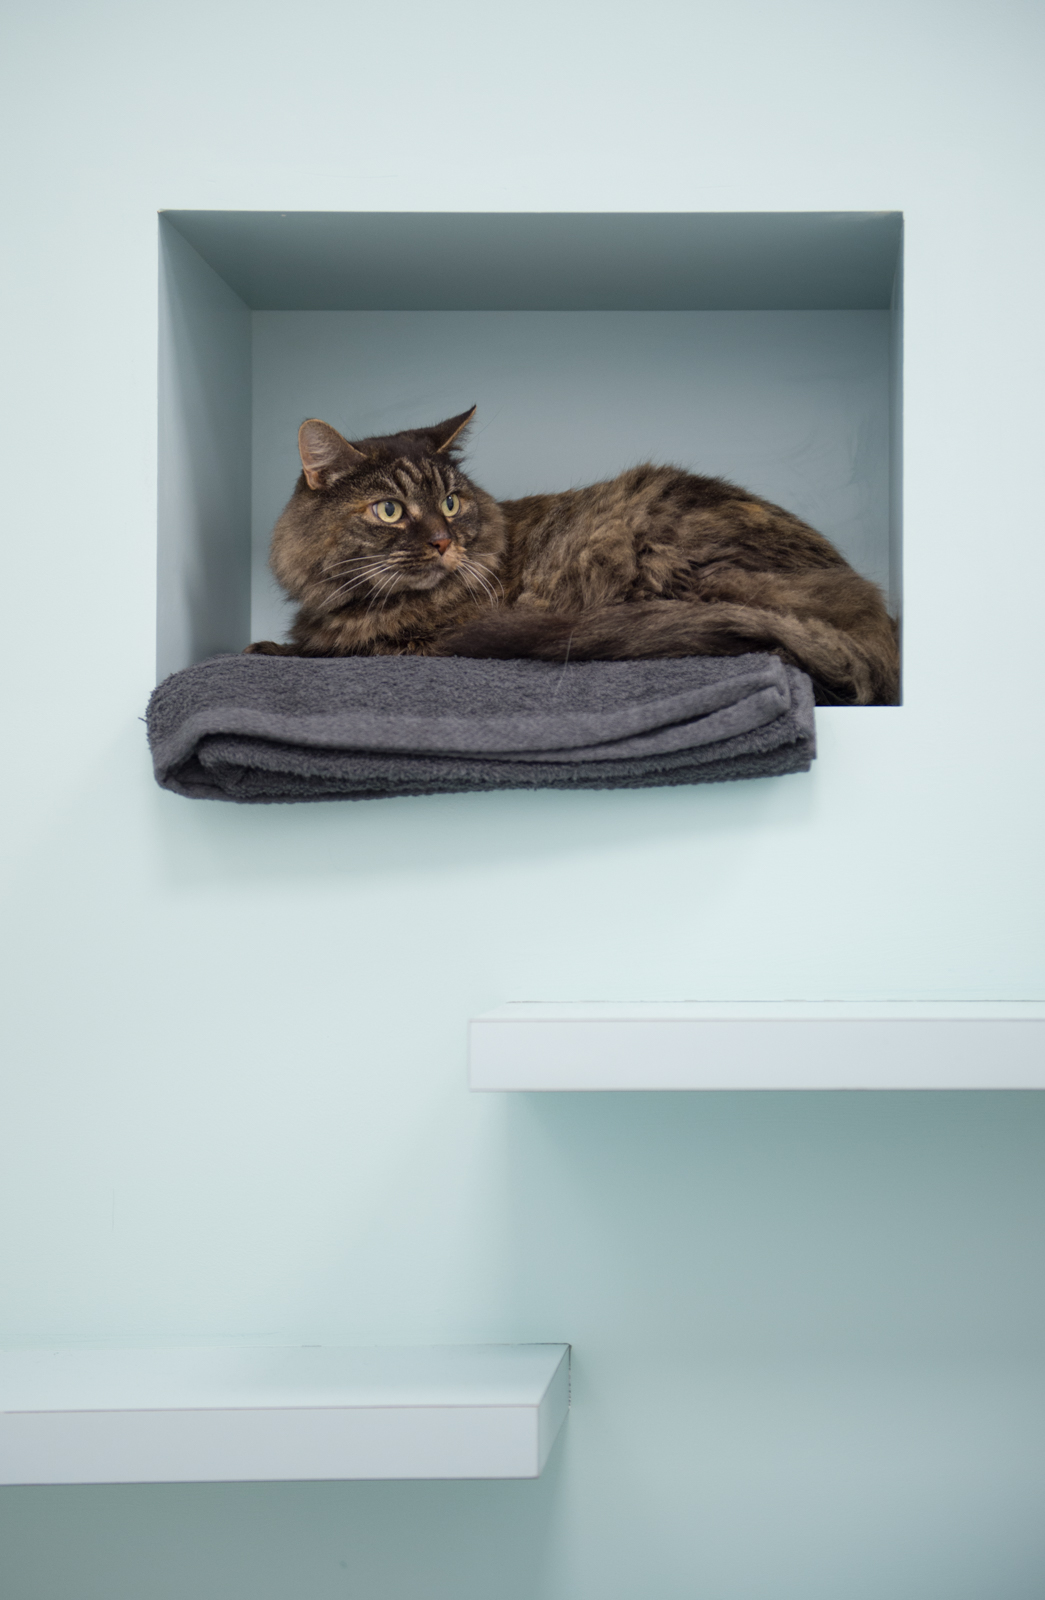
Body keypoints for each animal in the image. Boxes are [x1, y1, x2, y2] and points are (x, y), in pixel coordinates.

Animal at [248, 403, 902, 704]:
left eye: (452, 503)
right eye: (390, 510)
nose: (444, 540)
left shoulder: (419, 646)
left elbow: (329, 654)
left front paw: (273, 649)